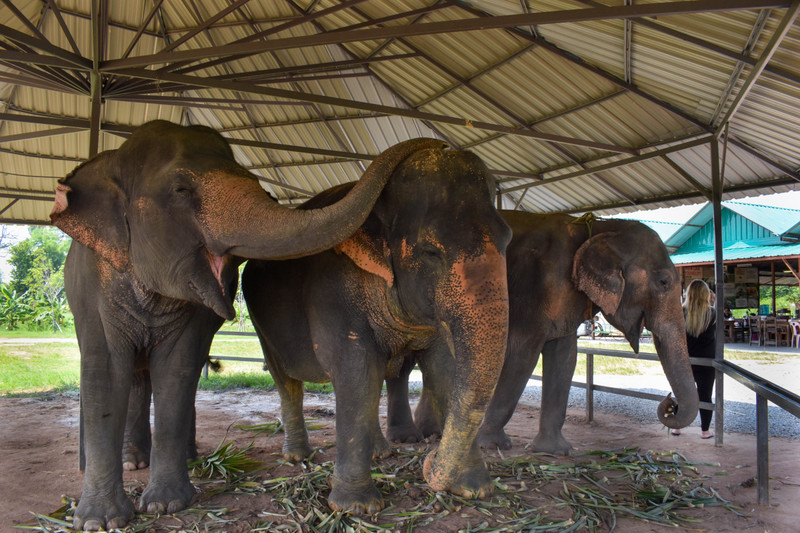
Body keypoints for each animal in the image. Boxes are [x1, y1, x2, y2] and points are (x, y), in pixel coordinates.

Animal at [50, 118, 444, 528]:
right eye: (180, 190)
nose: (437, 146)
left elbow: (176, 370)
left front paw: (165, 504)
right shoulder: (92, 290)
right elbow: (106, 373)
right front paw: (99, 521)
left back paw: (180, 457)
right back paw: (129, 462)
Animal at [241, 143, 510, 512]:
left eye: (508, 240)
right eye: (431, 252)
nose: (429, 462)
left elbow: (444, 369)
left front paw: (475, 490)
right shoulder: (332, 294)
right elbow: (356, 370)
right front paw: (357, 507)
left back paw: (380, 453)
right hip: (260, 321)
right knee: (288, 382)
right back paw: (298, 457)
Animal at [388, 210, 700, 456]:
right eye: (663, 282)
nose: (669, 403)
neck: (599, 227)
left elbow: (564, 357)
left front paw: (554, 452)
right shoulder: (537, 286)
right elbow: (521, 354)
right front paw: (492, 445)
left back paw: (433, 434)